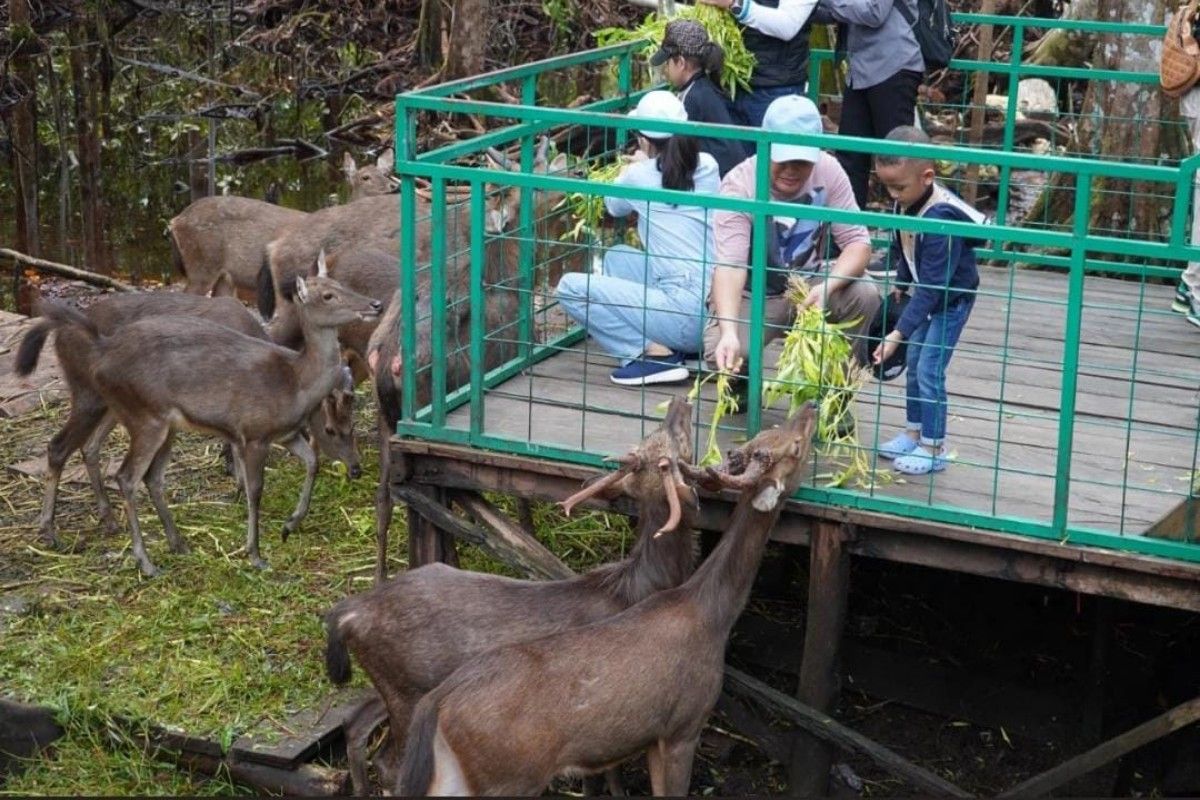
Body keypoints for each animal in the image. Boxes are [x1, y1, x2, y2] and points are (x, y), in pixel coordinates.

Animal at [29, 253, 379, 573]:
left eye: (342, 284)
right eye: (328, 295)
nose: (375, 304)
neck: (296, 383)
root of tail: (101, 353)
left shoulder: (285, 433)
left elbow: (312, 462)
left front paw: (289, 524)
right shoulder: (253, 432)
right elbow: (256, 490)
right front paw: (255, 553)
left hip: (158, 422)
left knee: (146, 473)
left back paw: (176, 542)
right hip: (141, 415)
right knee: (123, 475)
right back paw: (141, 560)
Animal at [169, 149, 396, 299]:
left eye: (386, 174)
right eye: (365, 177)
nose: (393, 187)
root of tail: (176, 221)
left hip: (224, 276)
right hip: (202, 262)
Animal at [328, 393, 700, 796]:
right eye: (668, 450)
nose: (679, 402)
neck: (639, 587)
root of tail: (349, 612)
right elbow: (606, 777)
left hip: (390, 686)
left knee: (355, 722)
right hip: (407, 692)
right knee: (390, 764)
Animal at [398, 402, 820, 796]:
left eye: (771, 433)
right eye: (797, 448)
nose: (811, 407)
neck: (713, 615)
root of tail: (436, 704)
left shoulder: (649, 737)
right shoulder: (683, 726)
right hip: (508, 777)